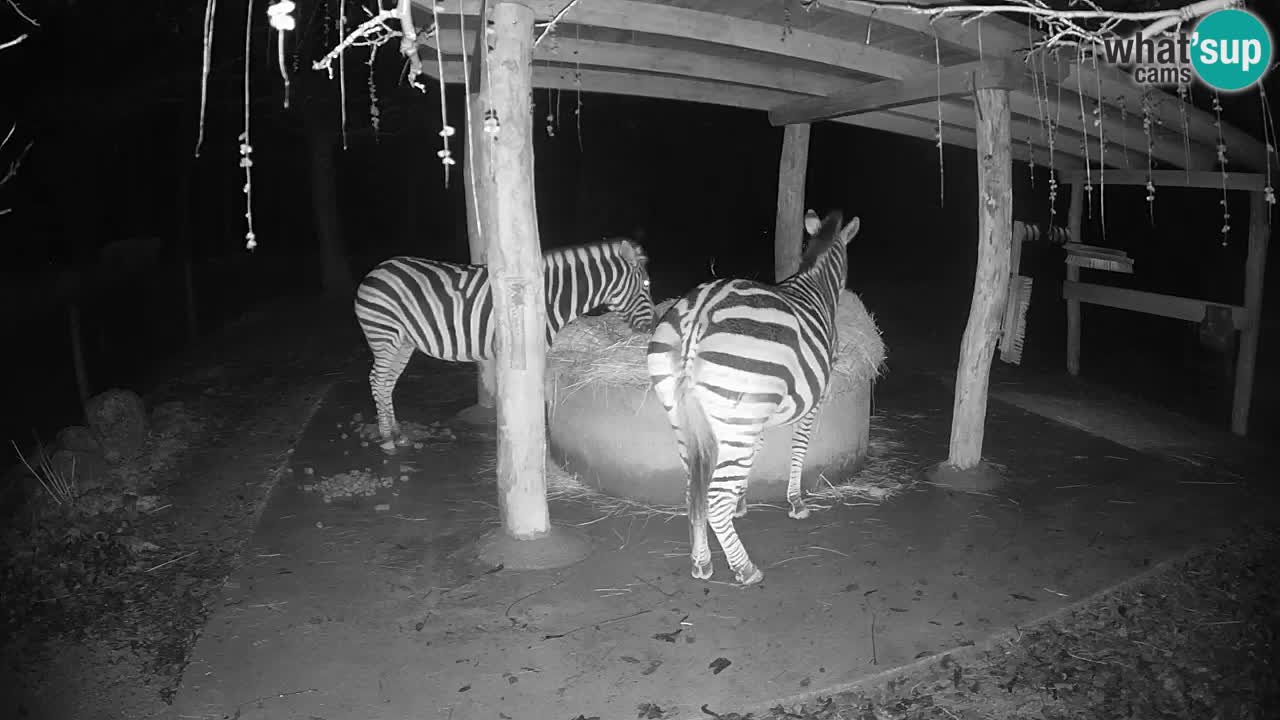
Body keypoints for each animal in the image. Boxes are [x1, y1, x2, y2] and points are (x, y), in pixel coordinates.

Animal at [360, 238, 660, 445]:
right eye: (646, 285)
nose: (653, 326)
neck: (550, 297)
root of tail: (378, 269)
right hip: (384, 335)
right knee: (377, 379)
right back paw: (386, 437)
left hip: (404, 342)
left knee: (387, 382)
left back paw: (397, 432)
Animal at [645, 208, 865, 584]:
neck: (817, 284)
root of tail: (698, 314)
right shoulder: (811, 400)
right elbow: (800, 446)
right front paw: (795, 502)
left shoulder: (758, 412)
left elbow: (757, 451)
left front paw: (742, 501)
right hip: (734, 415)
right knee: (714, 498)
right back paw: (744, 569)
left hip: (687, 416)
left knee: (695, 489)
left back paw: (702, 561)